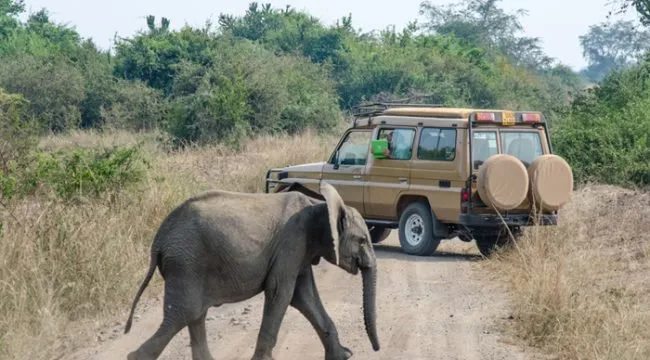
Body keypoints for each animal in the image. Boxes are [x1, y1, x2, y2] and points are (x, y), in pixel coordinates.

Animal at [121, 181, 380, 358]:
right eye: (362, 240)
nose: (376, 349)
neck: (320, 206)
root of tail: (159, 240)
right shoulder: (293, 241)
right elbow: (281, 292)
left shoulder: (301, 251)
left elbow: (304, 296)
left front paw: (342, 356)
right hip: (186, 263)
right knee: (183, 314)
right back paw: (134, 357)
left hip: (187, 264)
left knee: (194, 315)